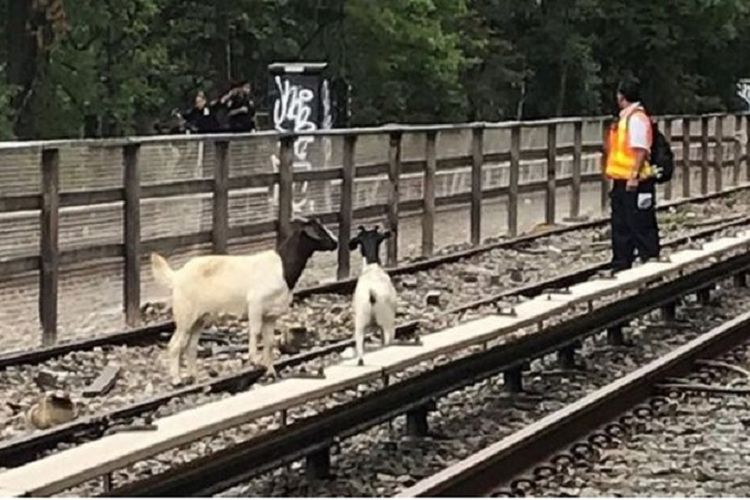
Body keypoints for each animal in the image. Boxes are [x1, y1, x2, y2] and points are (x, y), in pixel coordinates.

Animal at [150, 217, 338, 384]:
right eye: (319, 231)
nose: (335, 243)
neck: (282, 268)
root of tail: (176, 276)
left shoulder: (271, 315)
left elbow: (270, 342)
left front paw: (271, 372)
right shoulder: (256, 304)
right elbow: (255, 332)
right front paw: (254, 361)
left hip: (200, 318)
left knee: (191, 346)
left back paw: (194, 377)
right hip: (185, 315)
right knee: (175, 344)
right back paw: (176, 380)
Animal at [352, 226, 400, 364]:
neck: (372, 268)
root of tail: (371, 293)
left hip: (360, 323)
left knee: (360, 350)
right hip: (387, 322)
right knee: (388, 342)